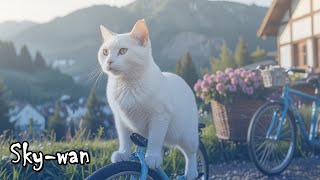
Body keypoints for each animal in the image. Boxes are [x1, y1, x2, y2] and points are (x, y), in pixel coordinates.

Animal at [97, 19, 199, 179]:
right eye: (105, 52)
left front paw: (152, 157)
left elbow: (155, 139)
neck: (127, 84)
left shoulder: (160, 116)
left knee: (191, 152)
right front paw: (123, 153)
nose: (109, 61)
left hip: (187, 134)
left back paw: (191, 172)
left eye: (123, 51)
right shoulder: (120, 118)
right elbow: (124, 137)